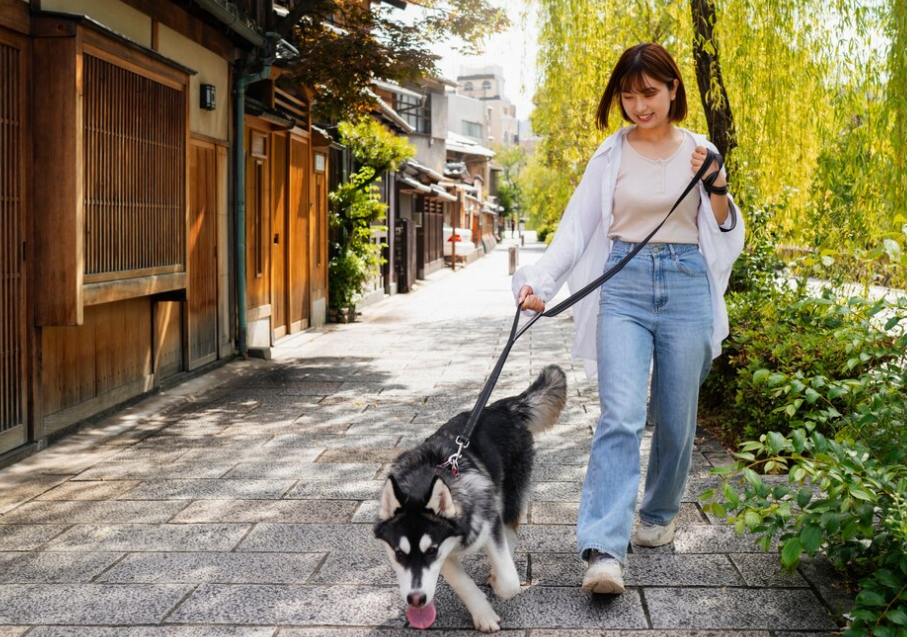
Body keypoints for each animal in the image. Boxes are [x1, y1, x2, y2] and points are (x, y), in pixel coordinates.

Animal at [372, 366, 564, 628]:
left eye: (431, 551)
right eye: (399, 554)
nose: (416, 599)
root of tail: (502, 407)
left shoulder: (488, 522)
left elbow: (509, 582)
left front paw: (499, 582)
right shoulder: (447, 550)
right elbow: (461, 582)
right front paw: (483, 613)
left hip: (510, 492)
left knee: (510, 528)